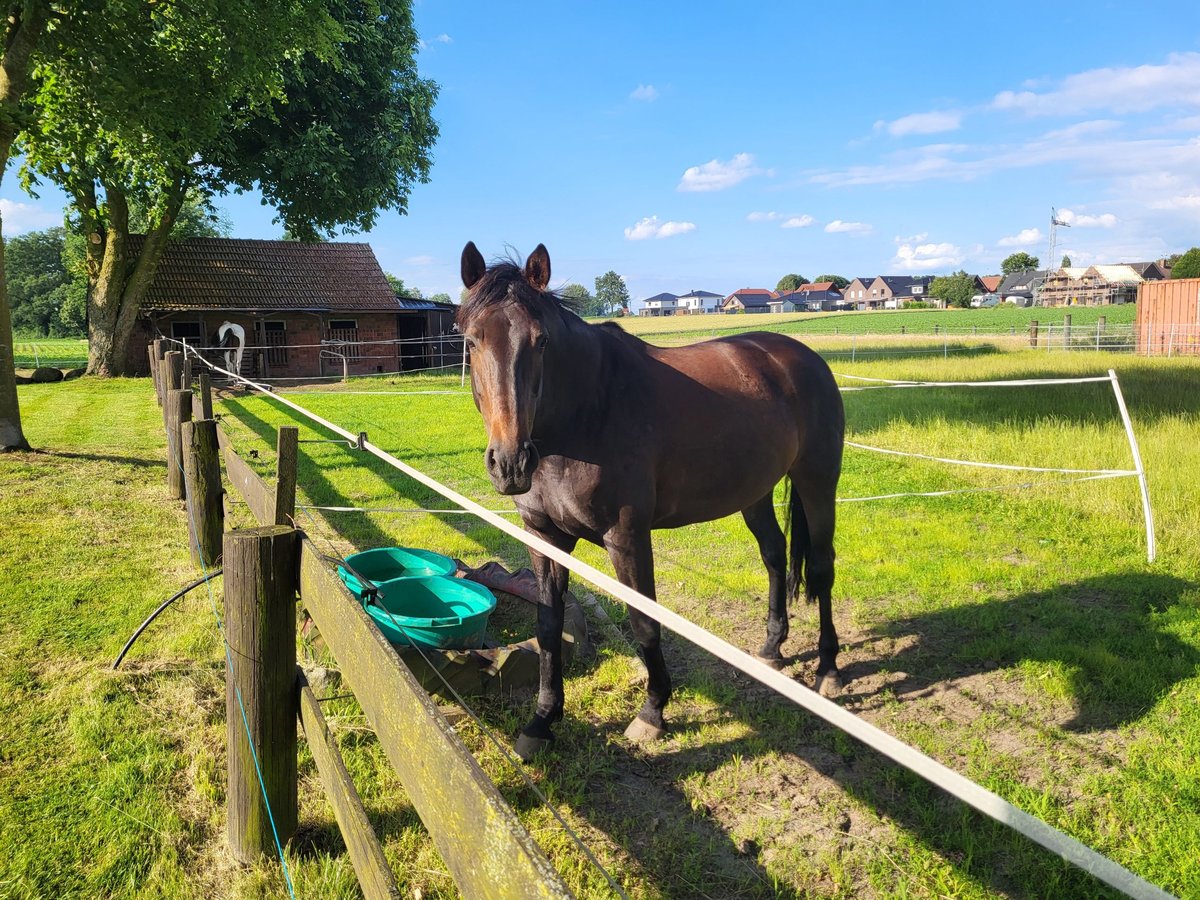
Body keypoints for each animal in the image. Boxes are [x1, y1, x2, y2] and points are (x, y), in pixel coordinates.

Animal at [456, 241, 844, 763]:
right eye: (471, 341)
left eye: (541, 341)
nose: (511, 462)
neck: (585, 417)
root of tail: (801, 357)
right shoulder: (544, 538)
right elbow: (548, 625)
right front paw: (542, 721)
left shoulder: (627, 537)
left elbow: (644, 622)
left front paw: (653, 712)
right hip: (755, 492)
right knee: (774, 555)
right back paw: (771, 647)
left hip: (817, 480)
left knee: (821, 566)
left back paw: (828, 670)